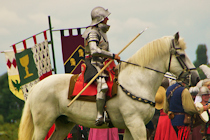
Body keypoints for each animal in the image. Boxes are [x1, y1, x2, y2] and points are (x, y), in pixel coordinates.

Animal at [18, 32, 200, 139]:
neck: (138, 81)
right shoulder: (136, 125)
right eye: (181, 54)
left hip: (64, 124)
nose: (196, 77)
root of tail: (35, 87)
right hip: (43, 125)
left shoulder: (130, 127)